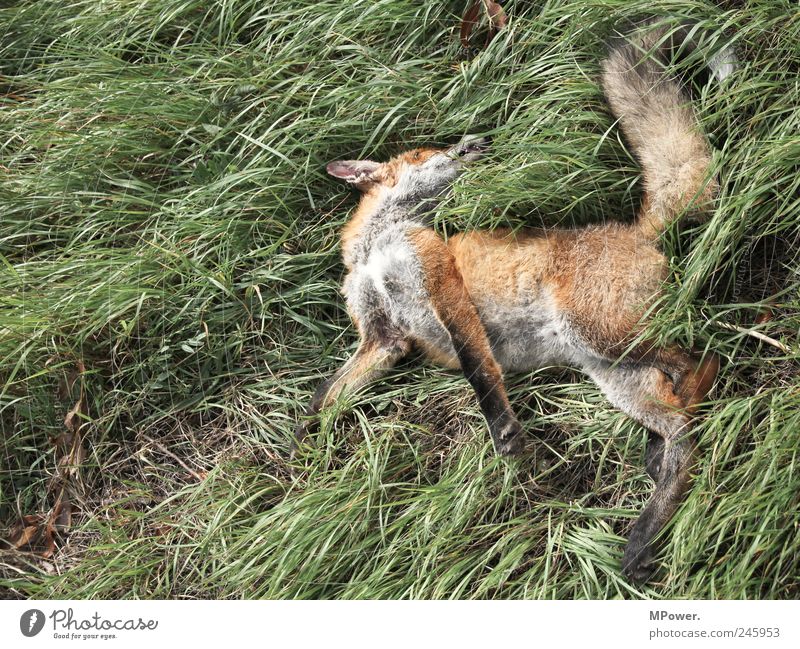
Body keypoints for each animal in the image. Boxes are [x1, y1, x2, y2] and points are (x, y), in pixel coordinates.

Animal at [296, 25, 736, 584]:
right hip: (614, 373)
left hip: (599, 334)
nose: (479, 141)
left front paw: (503, 430)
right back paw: (646, 527)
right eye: (431, 153)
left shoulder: (440, 279)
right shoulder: (383, 338)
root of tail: (633, 230)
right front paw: (304, 440)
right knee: (681, 427)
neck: (377, 248)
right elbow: (326, 396)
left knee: (705, 364)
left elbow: (477, 367)